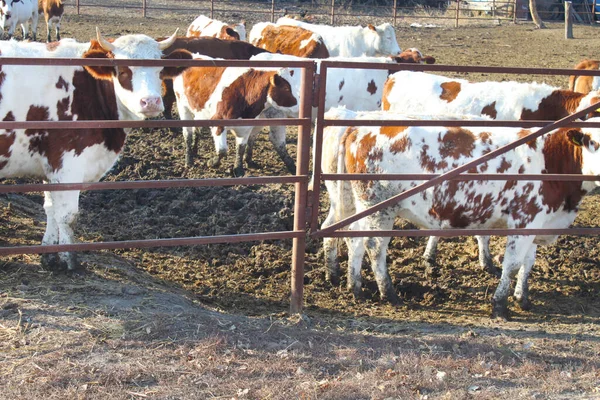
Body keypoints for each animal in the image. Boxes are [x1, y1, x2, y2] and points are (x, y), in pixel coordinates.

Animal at [0, 29, 192, 270]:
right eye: (123, 70)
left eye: (160, 70)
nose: (151, 101)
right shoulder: (68, 160)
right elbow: (68, 216)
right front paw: (69, 261)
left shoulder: (50, 163)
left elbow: (51, 209)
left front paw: (49, 256)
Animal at [171, 57, 302, 177]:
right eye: (286, 88)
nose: (300, 108)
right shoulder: (218, 122)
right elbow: (222, 151)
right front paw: (212, 162)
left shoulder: (245, 127)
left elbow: (241, 148)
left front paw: (238, 169)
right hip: (182, 107)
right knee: (187, 134)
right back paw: (189, 160)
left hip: (200, 113)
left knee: (196, 129)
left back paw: (194, 151)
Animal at [322, 105, 600, 318]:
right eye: (593, 142)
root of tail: (359, 126)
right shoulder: (524, 219)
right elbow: (512, 265)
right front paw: (500, 305)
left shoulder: (538, 223)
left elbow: (527, 264)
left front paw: (523, 299)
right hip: (379, 208)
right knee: (374, 247)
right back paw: (388, 293)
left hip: (360, 205)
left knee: (353, 240)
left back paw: (355, 287)